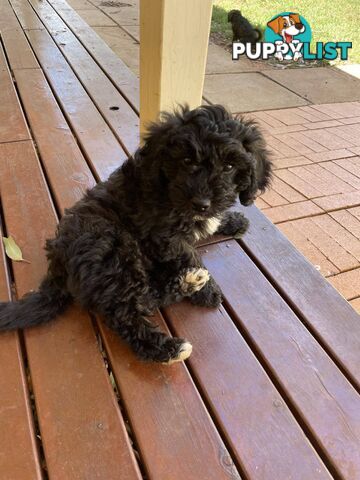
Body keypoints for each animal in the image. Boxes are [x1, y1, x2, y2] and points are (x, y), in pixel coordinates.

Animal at [0, 105, 272, 364]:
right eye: (186, 161)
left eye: (229, 166)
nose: (202, 203)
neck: (168, 189)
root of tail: (57, 263)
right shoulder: (164, 235)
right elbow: (188, 253)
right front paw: (210, 291)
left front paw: (232, 221)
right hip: (115, 248)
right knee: (124, 311)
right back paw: (169, 347)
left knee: (146, 297)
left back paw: (188, 282)